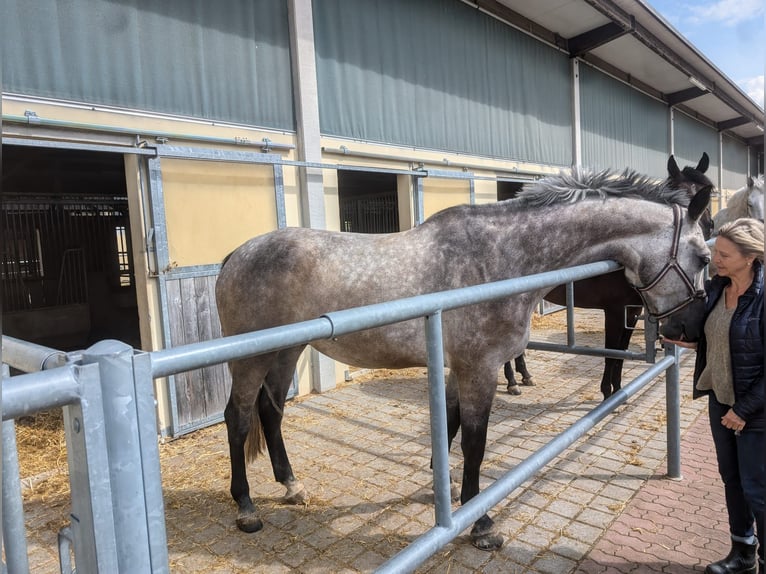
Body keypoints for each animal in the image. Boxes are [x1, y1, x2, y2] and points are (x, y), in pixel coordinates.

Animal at [508, 155, 716, 402]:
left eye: (709, 193)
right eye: (680, 192)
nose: (705, 230)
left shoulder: (632, 311)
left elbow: (622, 353)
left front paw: (617, 390)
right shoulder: (615, 311)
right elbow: (612, 352)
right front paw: (608, 394)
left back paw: (524, 375)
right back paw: (512, 381)